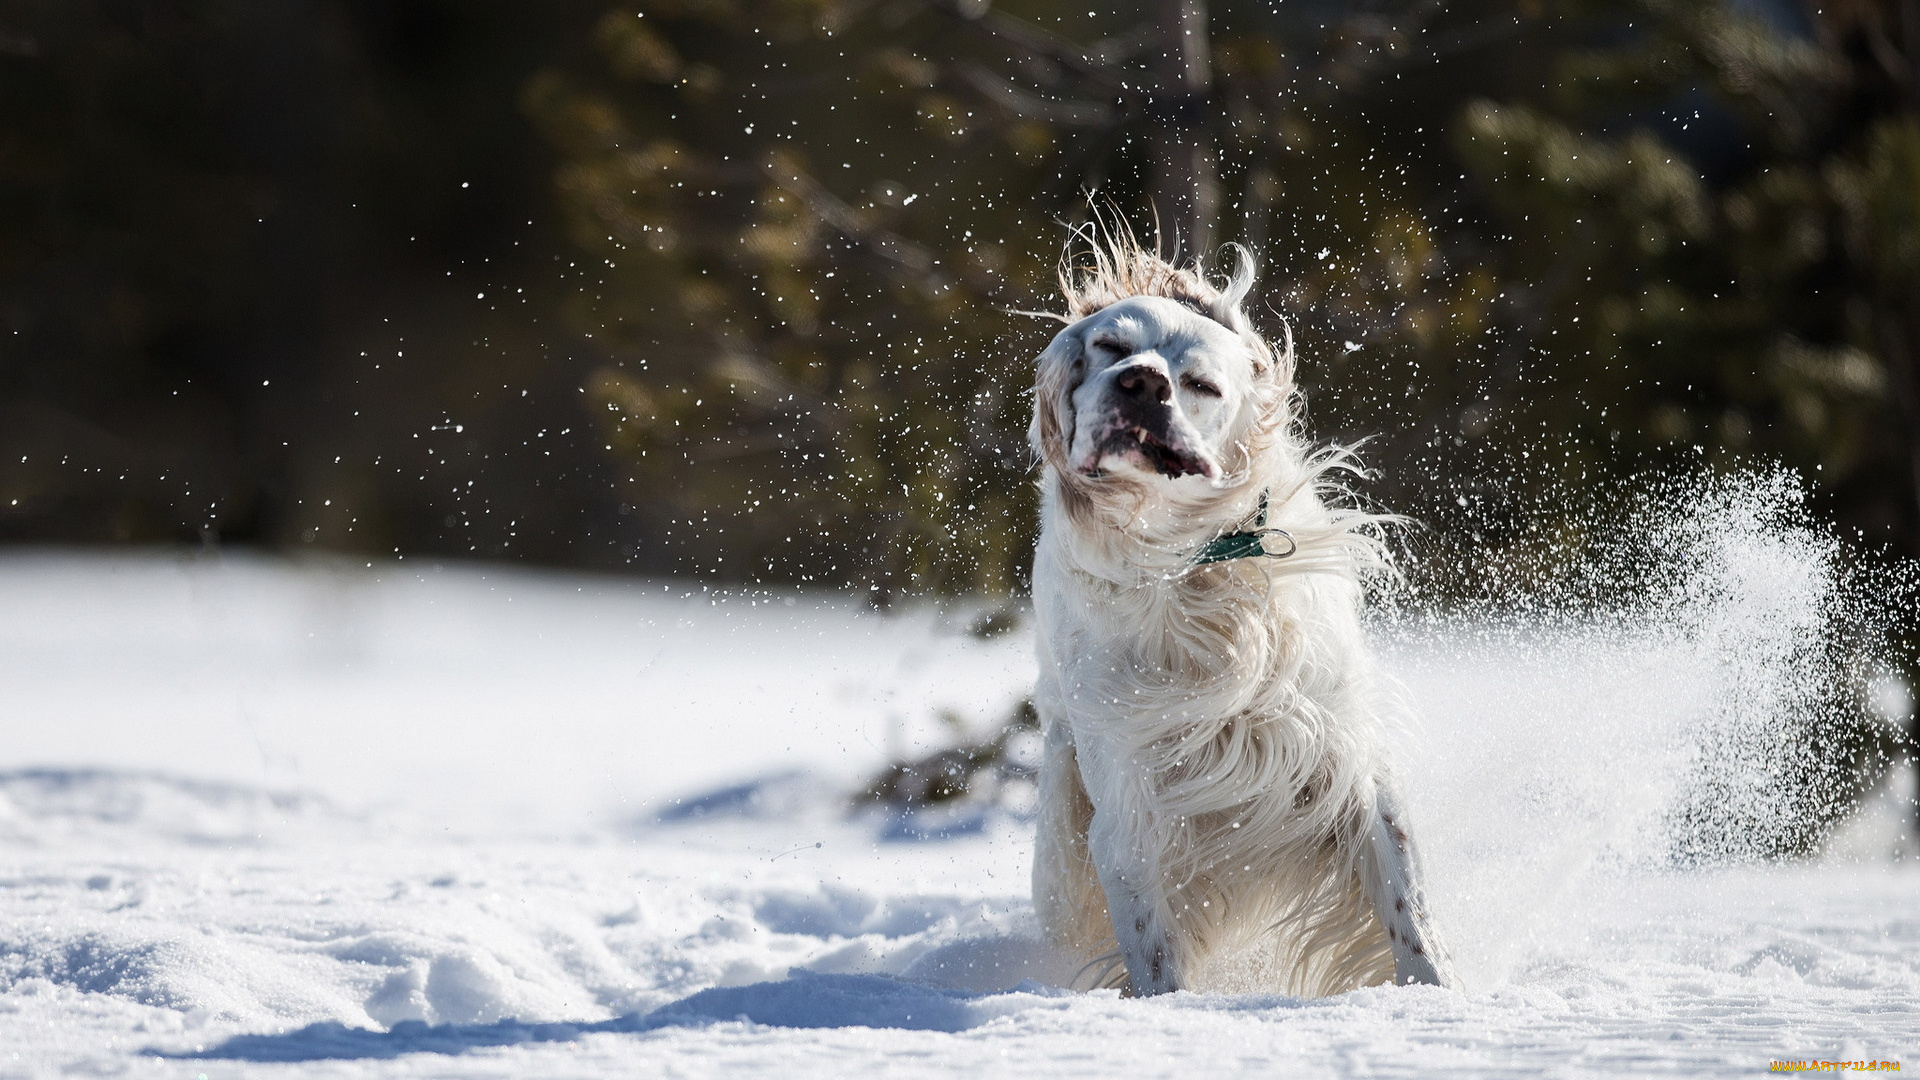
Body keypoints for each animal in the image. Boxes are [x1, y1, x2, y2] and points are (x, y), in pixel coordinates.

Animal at [1029, 231, 1443, 999]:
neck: (1189, 569)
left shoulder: (1345, 755)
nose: (1141, 382)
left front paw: (1440, 1001)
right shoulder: (1127, 810)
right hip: (1060, 870)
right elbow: (1155, 954)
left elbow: (1411, 917)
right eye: (1109, 345)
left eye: (1201, 383)